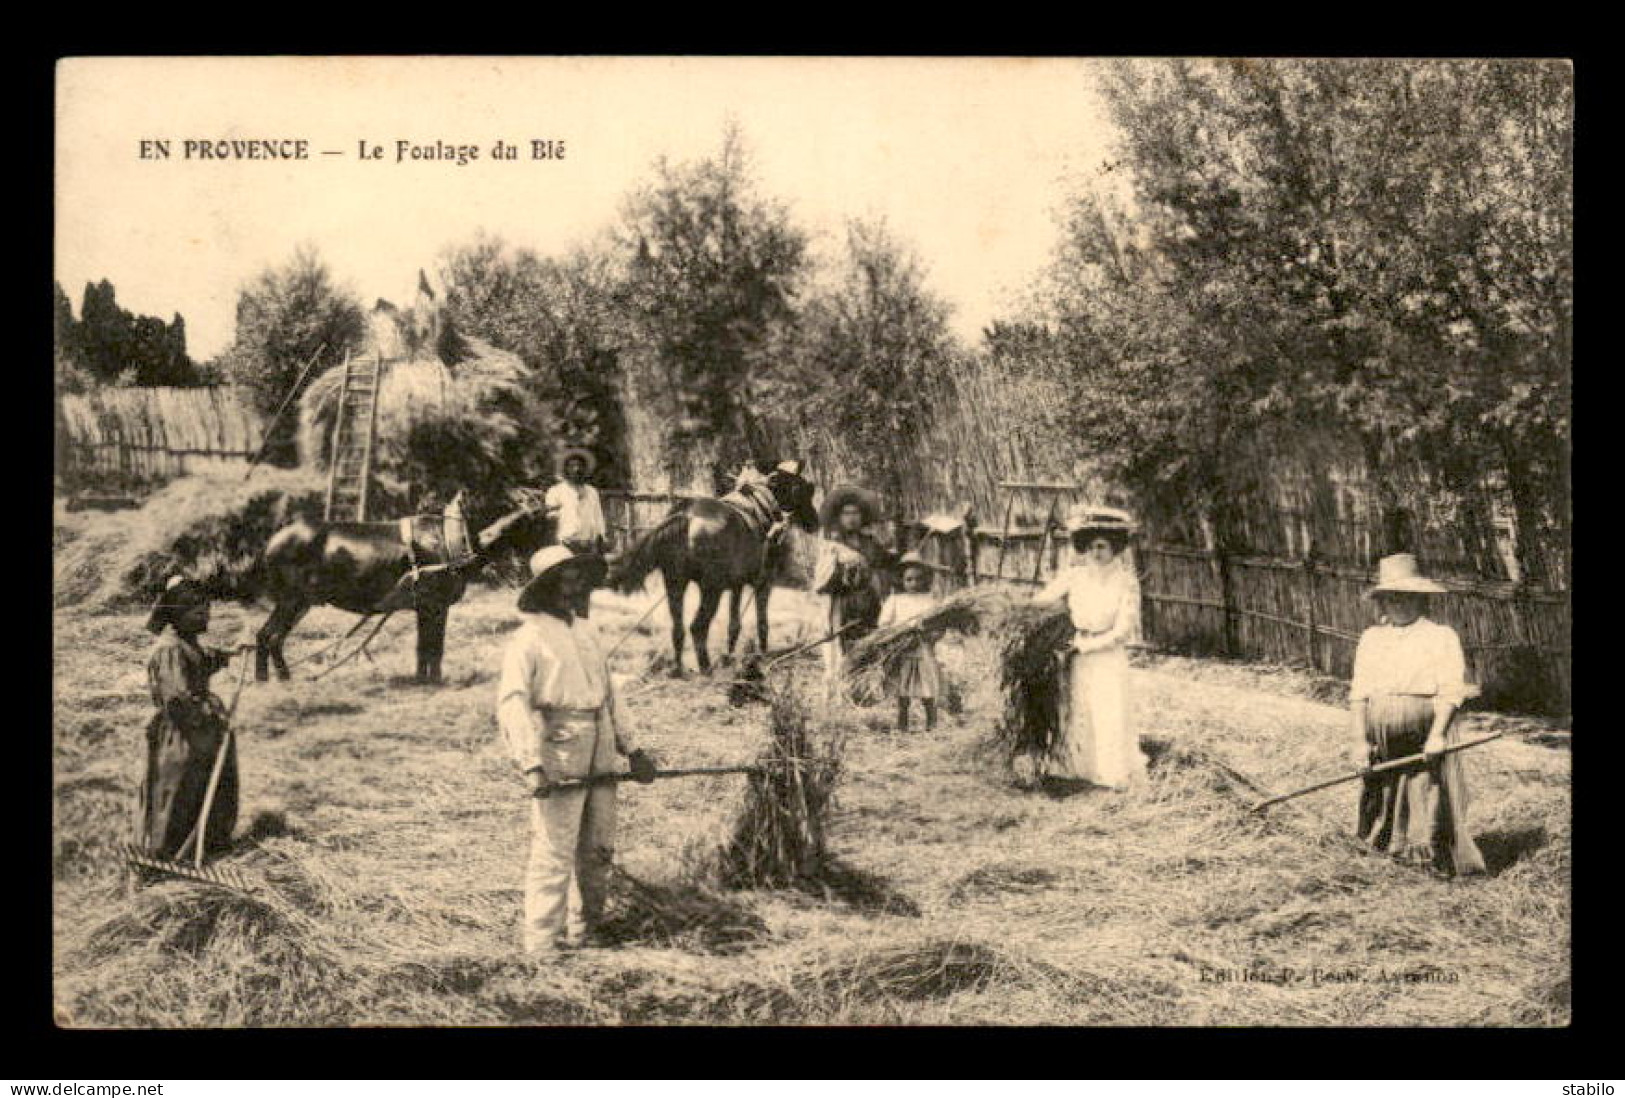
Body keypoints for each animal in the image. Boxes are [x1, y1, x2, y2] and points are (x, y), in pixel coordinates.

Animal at [255, 490, 539, 682]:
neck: (456, 541)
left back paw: (268, 678)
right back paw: (277, 678)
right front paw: (434, 681)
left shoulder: (425, 606)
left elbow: (424, 647)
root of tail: (272, 540)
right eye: (534, 520)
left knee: (269, 636)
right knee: (270, 636)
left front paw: (422, 679)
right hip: (291, 599)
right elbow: (433, 647)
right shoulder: (435, 605)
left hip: (303, 602)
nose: (525, 569)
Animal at [611, 461, 819, 672]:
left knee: (678, 629)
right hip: (711, 590)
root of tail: (686, 515)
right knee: (697, 627)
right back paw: (706, 667)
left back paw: (679, 669)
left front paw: (729, 657)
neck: (761, 506)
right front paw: (763, 656)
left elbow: (734, 625)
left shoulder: (737, 586)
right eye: (802, 489)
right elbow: (762, 623)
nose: (815, 523)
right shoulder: (763, 583)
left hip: (675, 584)